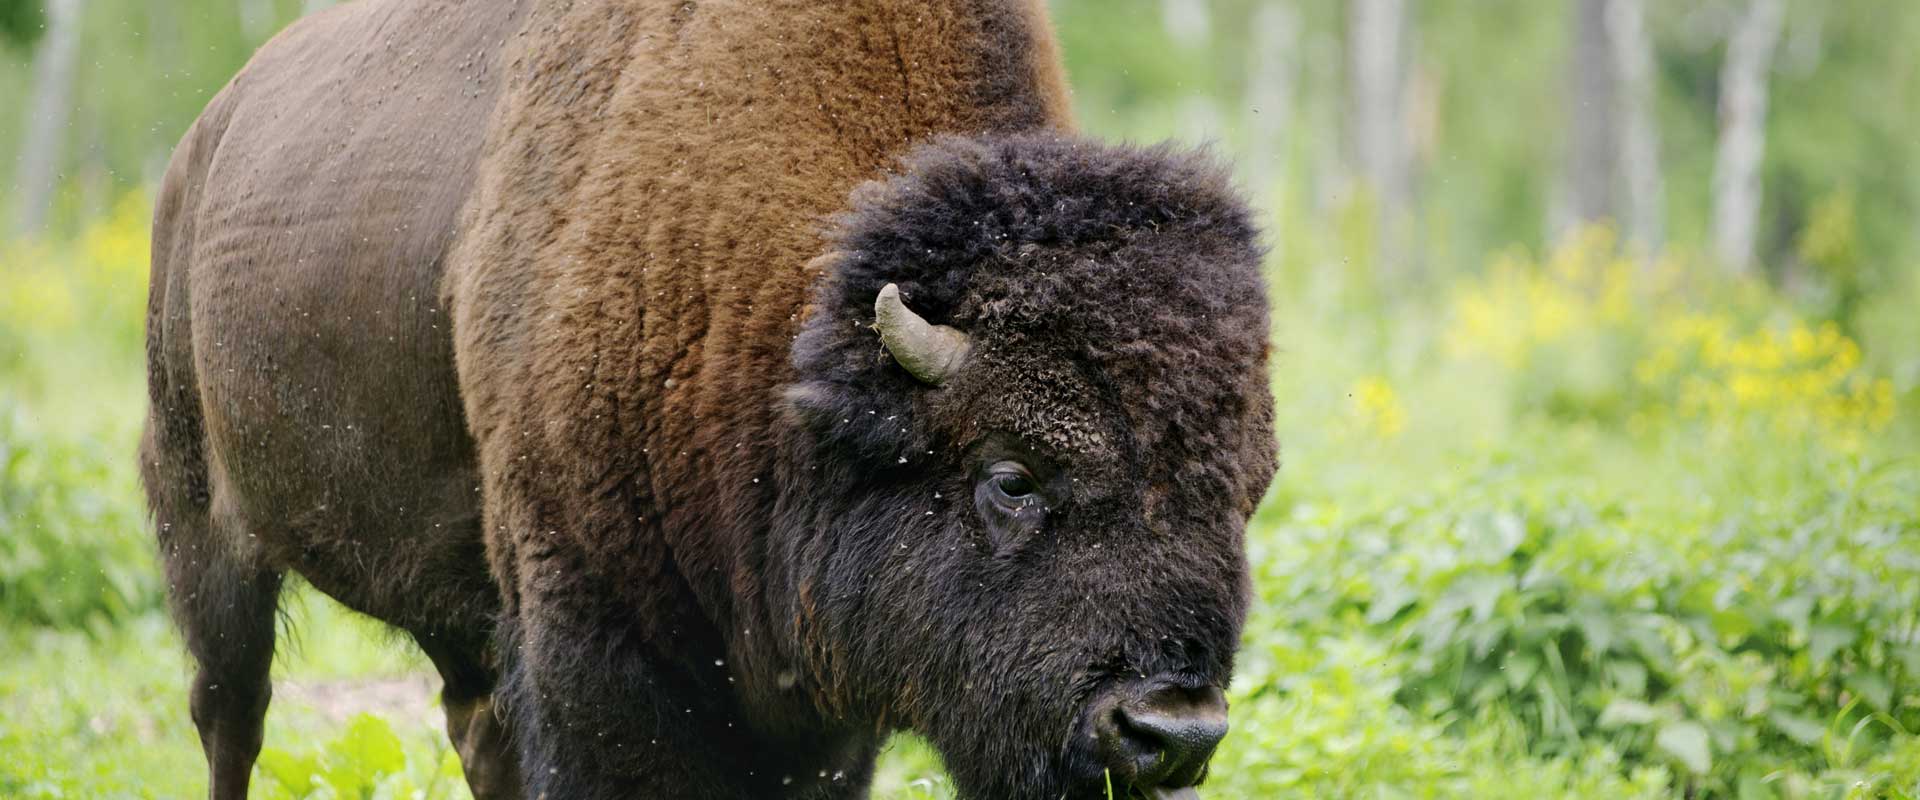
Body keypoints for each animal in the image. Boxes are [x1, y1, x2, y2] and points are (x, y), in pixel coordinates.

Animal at [145, 1, 1274, 798]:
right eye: (1012, 476)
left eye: (1246, 494)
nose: (1171, 730)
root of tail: (202, 141)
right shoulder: (594, 637)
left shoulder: (810, 694)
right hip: (200, 525)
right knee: (230, 714)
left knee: (471, 730)